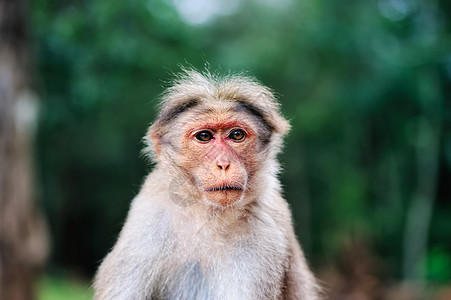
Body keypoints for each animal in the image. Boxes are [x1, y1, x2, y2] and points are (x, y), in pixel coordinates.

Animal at [93, 70, 322, 300]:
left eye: (236, 135)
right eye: (204, 136)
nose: (223, 164)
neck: (207, 215)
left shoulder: (264, 233)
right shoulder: (147, 221)